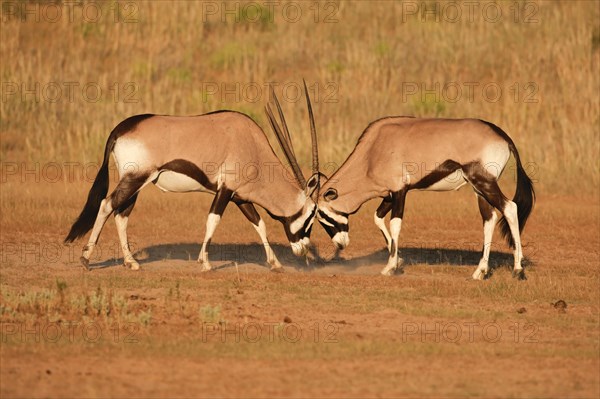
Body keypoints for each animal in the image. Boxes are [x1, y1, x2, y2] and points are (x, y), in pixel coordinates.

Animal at [63, 89, 322, 274]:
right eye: (311, 216)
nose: (303, 250)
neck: (253, 147)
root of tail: (120, 129)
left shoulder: (239, 197)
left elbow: (259, 224)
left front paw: (275, 263)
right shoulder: (225, 191)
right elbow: (213, 220)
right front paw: (205, 263)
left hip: (136, 184)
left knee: (121, 215)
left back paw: (131, 262)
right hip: (135, 179)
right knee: (107, 205)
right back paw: (86, 258)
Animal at [316, 117, 536, 282]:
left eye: (320, 214)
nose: (340, 244)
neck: (372, 151)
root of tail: (503, 136)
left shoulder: (399, 191)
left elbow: (395, 224)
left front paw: (390, 267)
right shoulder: (389, 194)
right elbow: (377, 218)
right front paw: (398, 261)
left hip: (484, 182)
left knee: (510, 208)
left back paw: (518, 269)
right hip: (479, 190)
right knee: (489, 219)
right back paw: (479, 272)